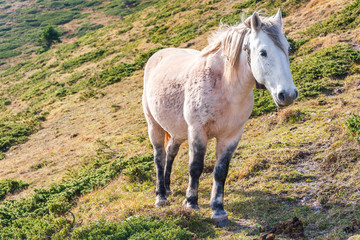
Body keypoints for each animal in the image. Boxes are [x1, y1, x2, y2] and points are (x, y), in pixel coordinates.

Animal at [142, 9, 296, 227]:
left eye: (287, 48)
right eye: (263, 52)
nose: (288, 94)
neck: (225, 88)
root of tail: (157, 55)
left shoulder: (231, 136)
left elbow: (221, 172)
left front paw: (218, 209)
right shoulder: (198, 131)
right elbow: (195, 167)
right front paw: (191, 203)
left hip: (178, 131)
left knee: (170, 152)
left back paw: (168, 187)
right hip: (154, 126)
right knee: (159, 157)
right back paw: (161, 196)